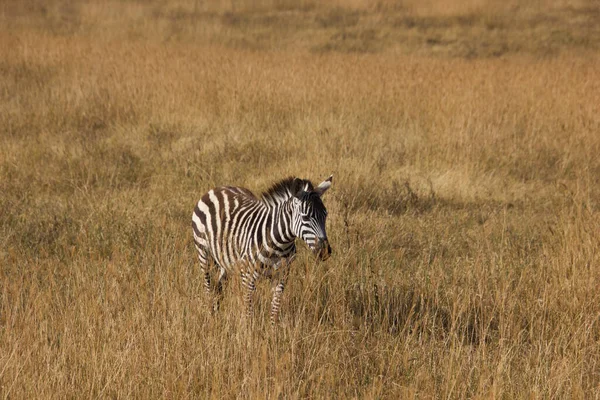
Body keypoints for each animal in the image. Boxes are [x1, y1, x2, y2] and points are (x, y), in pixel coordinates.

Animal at [192, 177, 332, 324]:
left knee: (218, 288)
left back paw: (217, 315)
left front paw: (273, 329)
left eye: (325, 215)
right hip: (204, 254)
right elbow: (248, 311)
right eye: (305, 217)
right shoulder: (247, 276)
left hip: (226, 260)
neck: (279, 245)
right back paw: (211, 317)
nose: (325, 251)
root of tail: (217, 189)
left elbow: (275, 309)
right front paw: (249, 329)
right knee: (208, 287)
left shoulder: (282, 276)